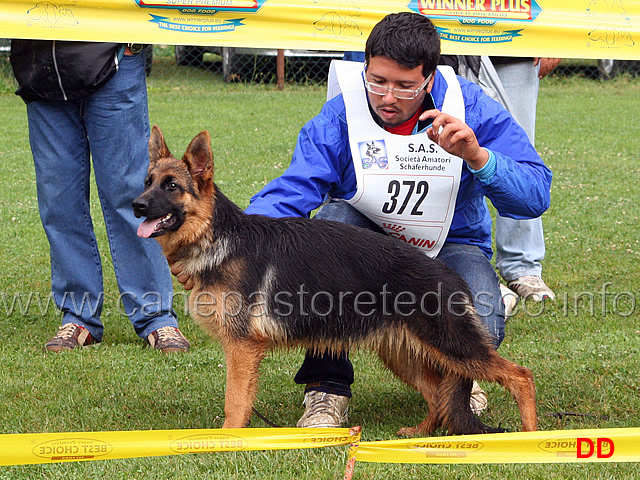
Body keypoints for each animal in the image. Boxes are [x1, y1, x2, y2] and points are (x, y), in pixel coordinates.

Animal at [132, 125, 536, 436]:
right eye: (148, 183)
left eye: (172, 186)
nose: (136, 206)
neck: (215, 237)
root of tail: (449, 275)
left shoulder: (242, 349)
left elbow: (235, 402)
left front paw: (228, 439)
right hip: (403, 354)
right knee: (439, 396)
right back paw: (419, 432)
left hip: (453, 347)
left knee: (520, 376)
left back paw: (528, 436)